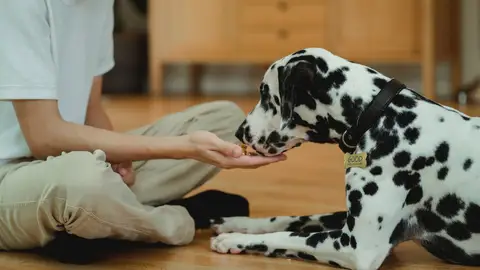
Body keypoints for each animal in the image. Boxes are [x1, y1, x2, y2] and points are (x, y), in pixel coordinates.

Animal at [208, 47, 480, 268]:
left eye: (265, 94)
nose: (240, 131)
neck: (379, 116)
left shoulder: (356, 247)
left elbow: (286, 236)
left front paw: (234, 239)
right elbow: (289, 219)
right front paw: (236, 223)